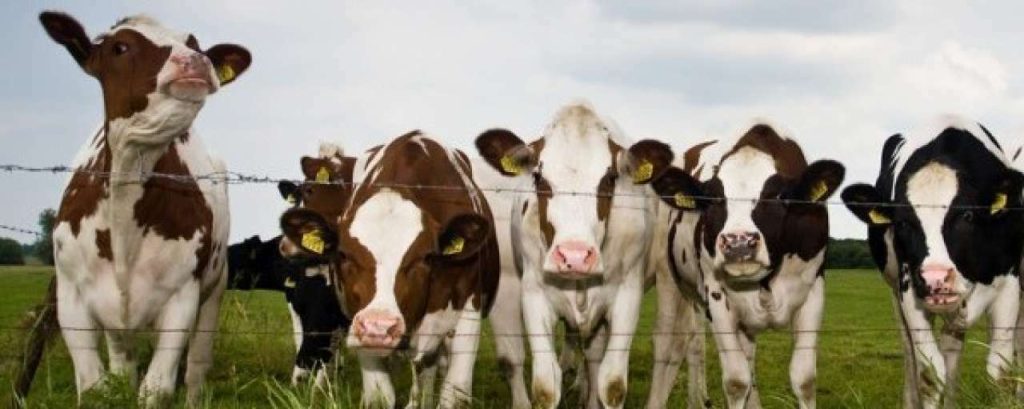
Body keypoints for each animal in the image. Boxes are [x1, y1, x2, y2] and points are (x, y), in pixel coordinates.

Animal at [41, 11, 250, 406]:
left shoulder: (183, 294)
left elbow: (155, 388)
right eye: (119, 47)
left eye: (195, 44)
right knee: (123, 364)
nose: (195, 61)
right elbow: (94, 386)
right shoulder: (71, 297)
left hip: (215, 287)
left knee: (196, 366)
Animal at [279, 131, 500, 408]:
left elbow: (455, 394)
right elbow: (380, 396)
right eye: (343, 255)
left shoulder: (468, 312)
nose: (378, 327)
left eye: (426, 257)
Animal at [475, 101, 676, 408]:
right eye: (538, 176)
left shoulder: (627, 296)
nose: (576, 256)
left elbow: (612, 384)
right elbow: (546, 386)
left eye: (610, 178)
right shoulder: (533, 294)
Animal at [647, 123, 845, 409]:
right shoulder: (717, 297)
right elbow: (737, 381)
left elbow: (804, 379)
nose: (738, 243)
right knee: (667, 344)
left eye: (775, 196)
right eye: (714, 198)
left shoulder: (813, 292)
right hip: (669, 279)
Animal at [841, 117, 1024, 408]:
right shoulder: (909, 292)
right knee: (912, 354)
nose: (935, 278)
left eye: (968, 215)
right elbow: (930, 373)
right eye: (903, 223)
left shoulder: (1008, 284)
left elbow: (999, 371)